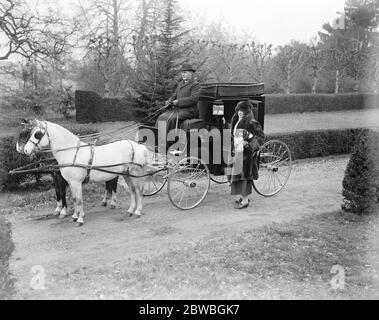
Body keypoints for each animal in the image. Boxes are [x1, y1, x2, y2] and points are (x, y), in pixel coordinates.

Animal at [21, 119, 150, 226]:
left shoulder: (76, 183)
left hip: (135, 174)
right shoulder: (71, 183)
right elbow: (74, 199)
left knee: (138, 191)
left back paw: (137, 211)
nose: (25, 150)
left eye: (37, 134)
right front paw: (74, 216)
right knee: (132, 191)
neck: (71, 152)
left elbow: (79, 200)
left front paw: (80, 219)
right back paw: (130, 211)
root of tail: (138, 146)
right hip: (127, 175)